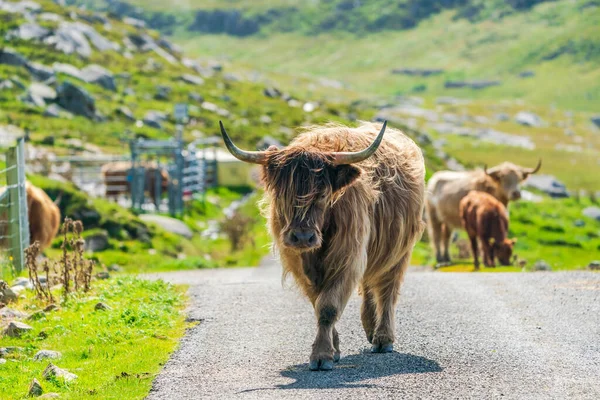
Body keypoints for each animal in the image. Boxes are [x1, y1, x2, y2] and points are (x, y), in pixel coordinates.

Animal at [218, 119, 424, 372]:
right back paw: (369, 327)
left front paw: (321, 355)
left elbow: (328, 307)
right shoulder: (301, 265)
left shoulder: (347, 256)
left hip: (398, 251)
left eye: (323, 195)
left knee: (387, 291)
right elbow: (318, 303)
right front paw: (333, 350)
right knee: (369, 283)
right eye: (283, 194)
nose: (302, 237)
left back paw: (383, 339)